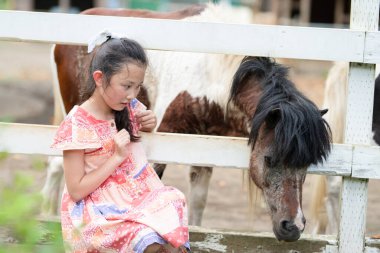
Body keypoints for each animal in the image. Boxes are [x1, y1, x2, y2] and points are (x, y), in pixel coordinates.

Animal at [43, 3, 332, 241]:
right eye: (269, 159)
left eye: (307, 164)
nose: (293, 227)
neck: (212, 73)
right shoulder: (165, 139)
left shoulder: (203, 147)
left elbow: (198, 204)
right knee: (59, 168)